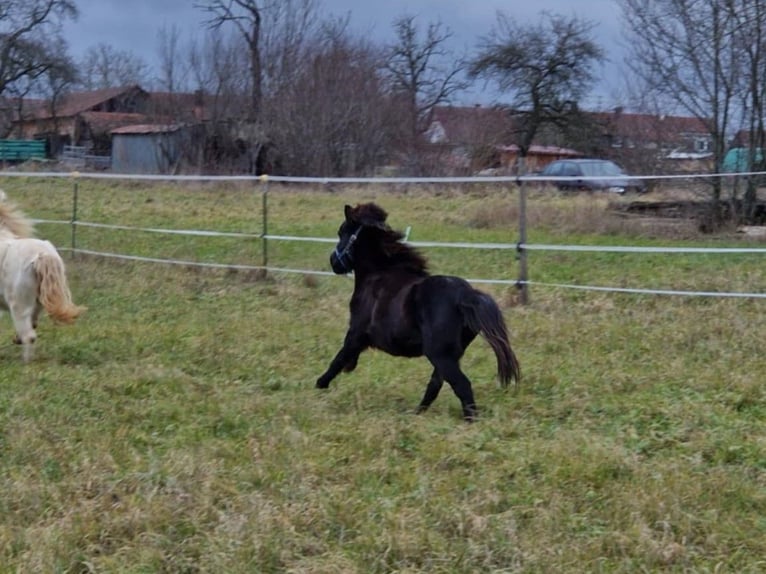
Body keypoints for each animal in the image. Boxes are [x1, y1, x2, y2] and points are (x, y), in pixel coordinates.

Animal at [316, 202, 520, 421]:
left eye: (342, 232)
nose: (334, 262)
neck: (377, 276)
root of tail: (465, 295)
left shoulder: (356, 332)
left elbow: (339, 358)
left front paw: (321, 383)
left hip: (440, 354)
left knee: (461, 385)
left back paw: (469, 420)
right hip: (448, 356)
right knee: (436, 384)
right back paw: (417, 413)